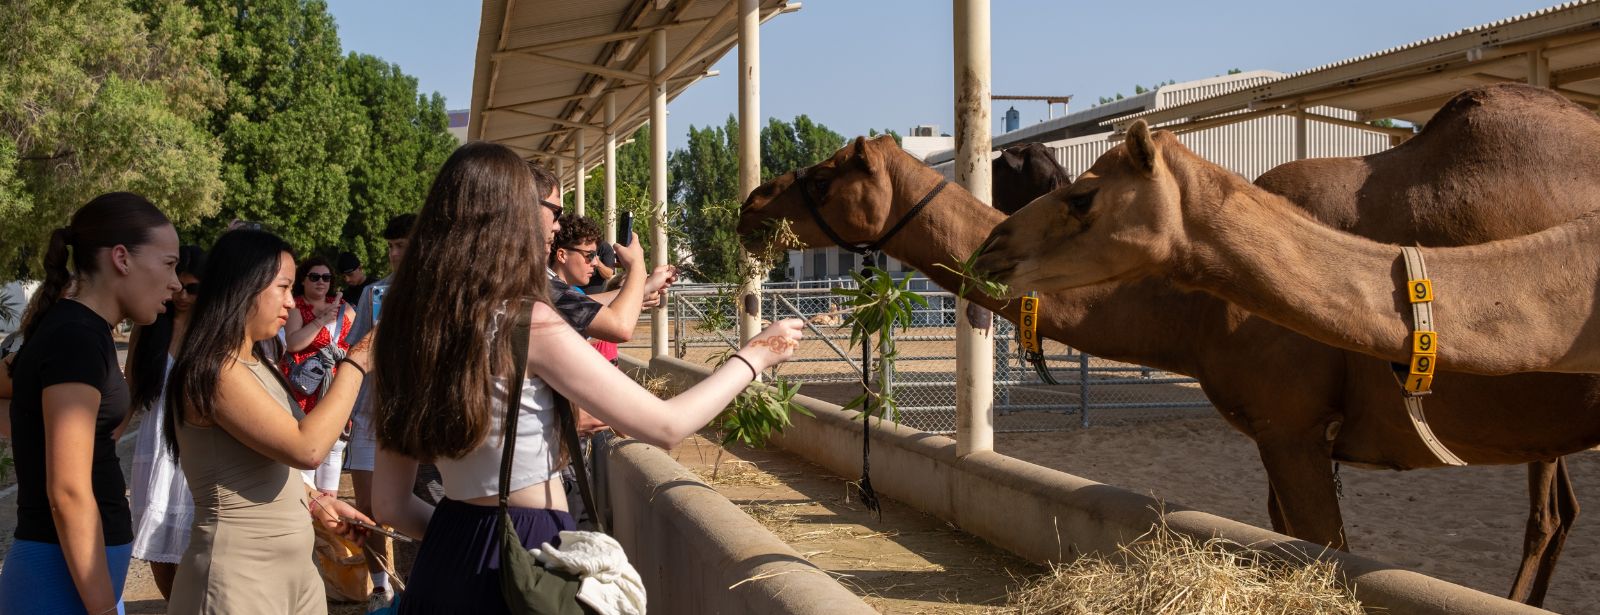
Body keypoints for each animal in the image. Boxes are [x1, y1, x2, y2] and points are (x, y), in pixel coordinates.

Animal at [741, 85, 1600, 606]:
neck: (1198, 312)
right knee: (1555, 512)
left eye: (828, 171)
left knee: (1547, 514)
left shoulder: (1293, 426)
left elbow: (1329, 550)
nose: (752, 203)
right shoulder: (1276, 437)